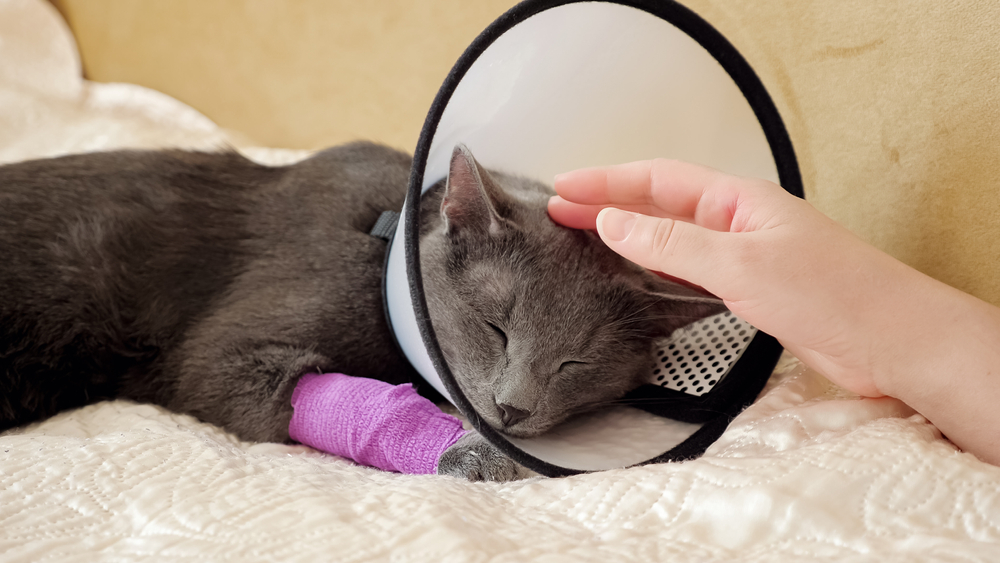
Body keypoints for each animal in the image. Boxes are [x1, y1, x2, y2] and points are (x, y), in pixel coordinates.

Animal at [0, 141, 720, 480]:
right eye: (496, 328)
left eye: (576, 362)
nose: (513, 408)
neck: (386, 245)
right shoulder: (221, 355)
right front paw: (471, 453)